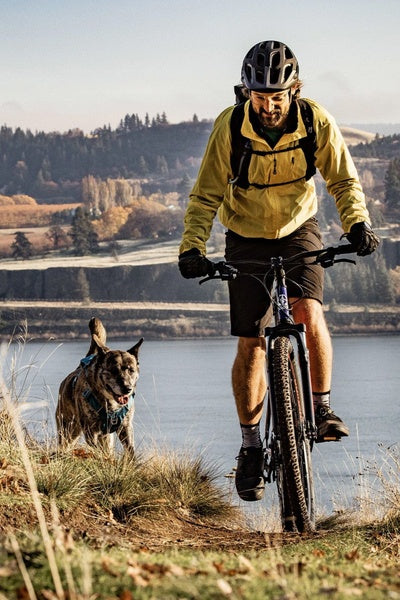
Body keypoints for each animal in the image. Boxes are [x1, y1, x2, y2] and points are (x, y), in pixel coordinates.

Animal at [55, 318, 144, 454]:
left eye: (131, 370)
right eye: (113, 370)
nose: (127, 389)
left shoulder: (126, 427)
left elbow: (130, 451)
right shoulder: (91, 431)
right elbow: (99, 451)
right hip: (68, 429)